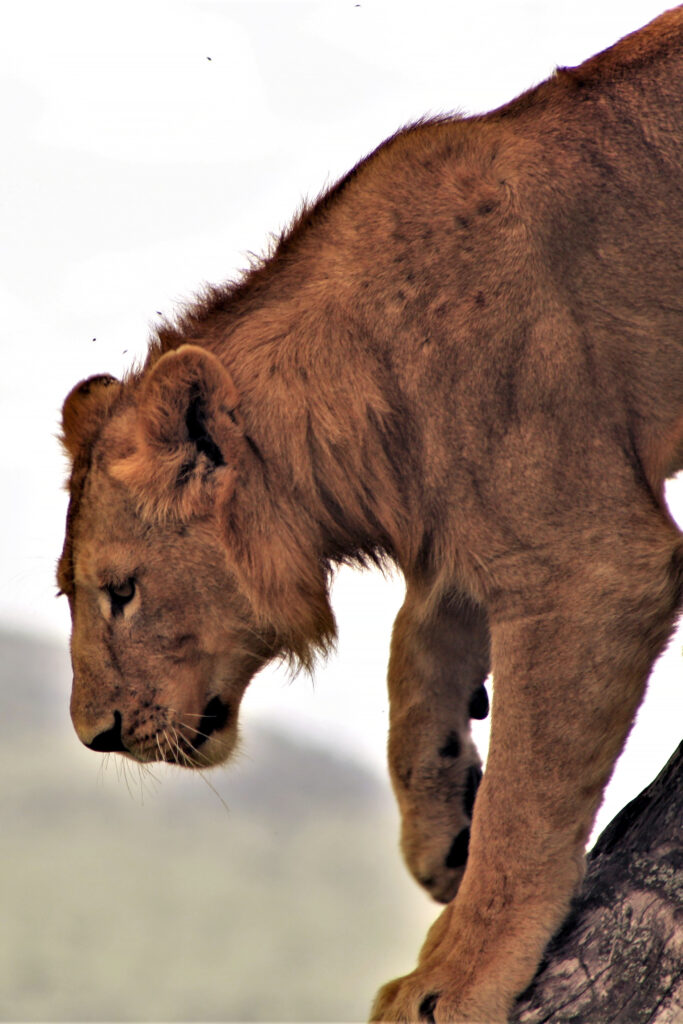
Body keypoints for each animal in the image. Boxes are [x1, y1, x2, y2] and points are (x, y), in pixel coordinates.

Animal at [58, 8, 683, 1021]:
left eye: (121, 593)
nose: (95, 735)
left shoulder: (593, 568)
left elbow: (525, 803)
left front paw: (452, 977)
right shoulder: (465, 526)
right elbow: (413, 654)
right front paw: (440, 831)